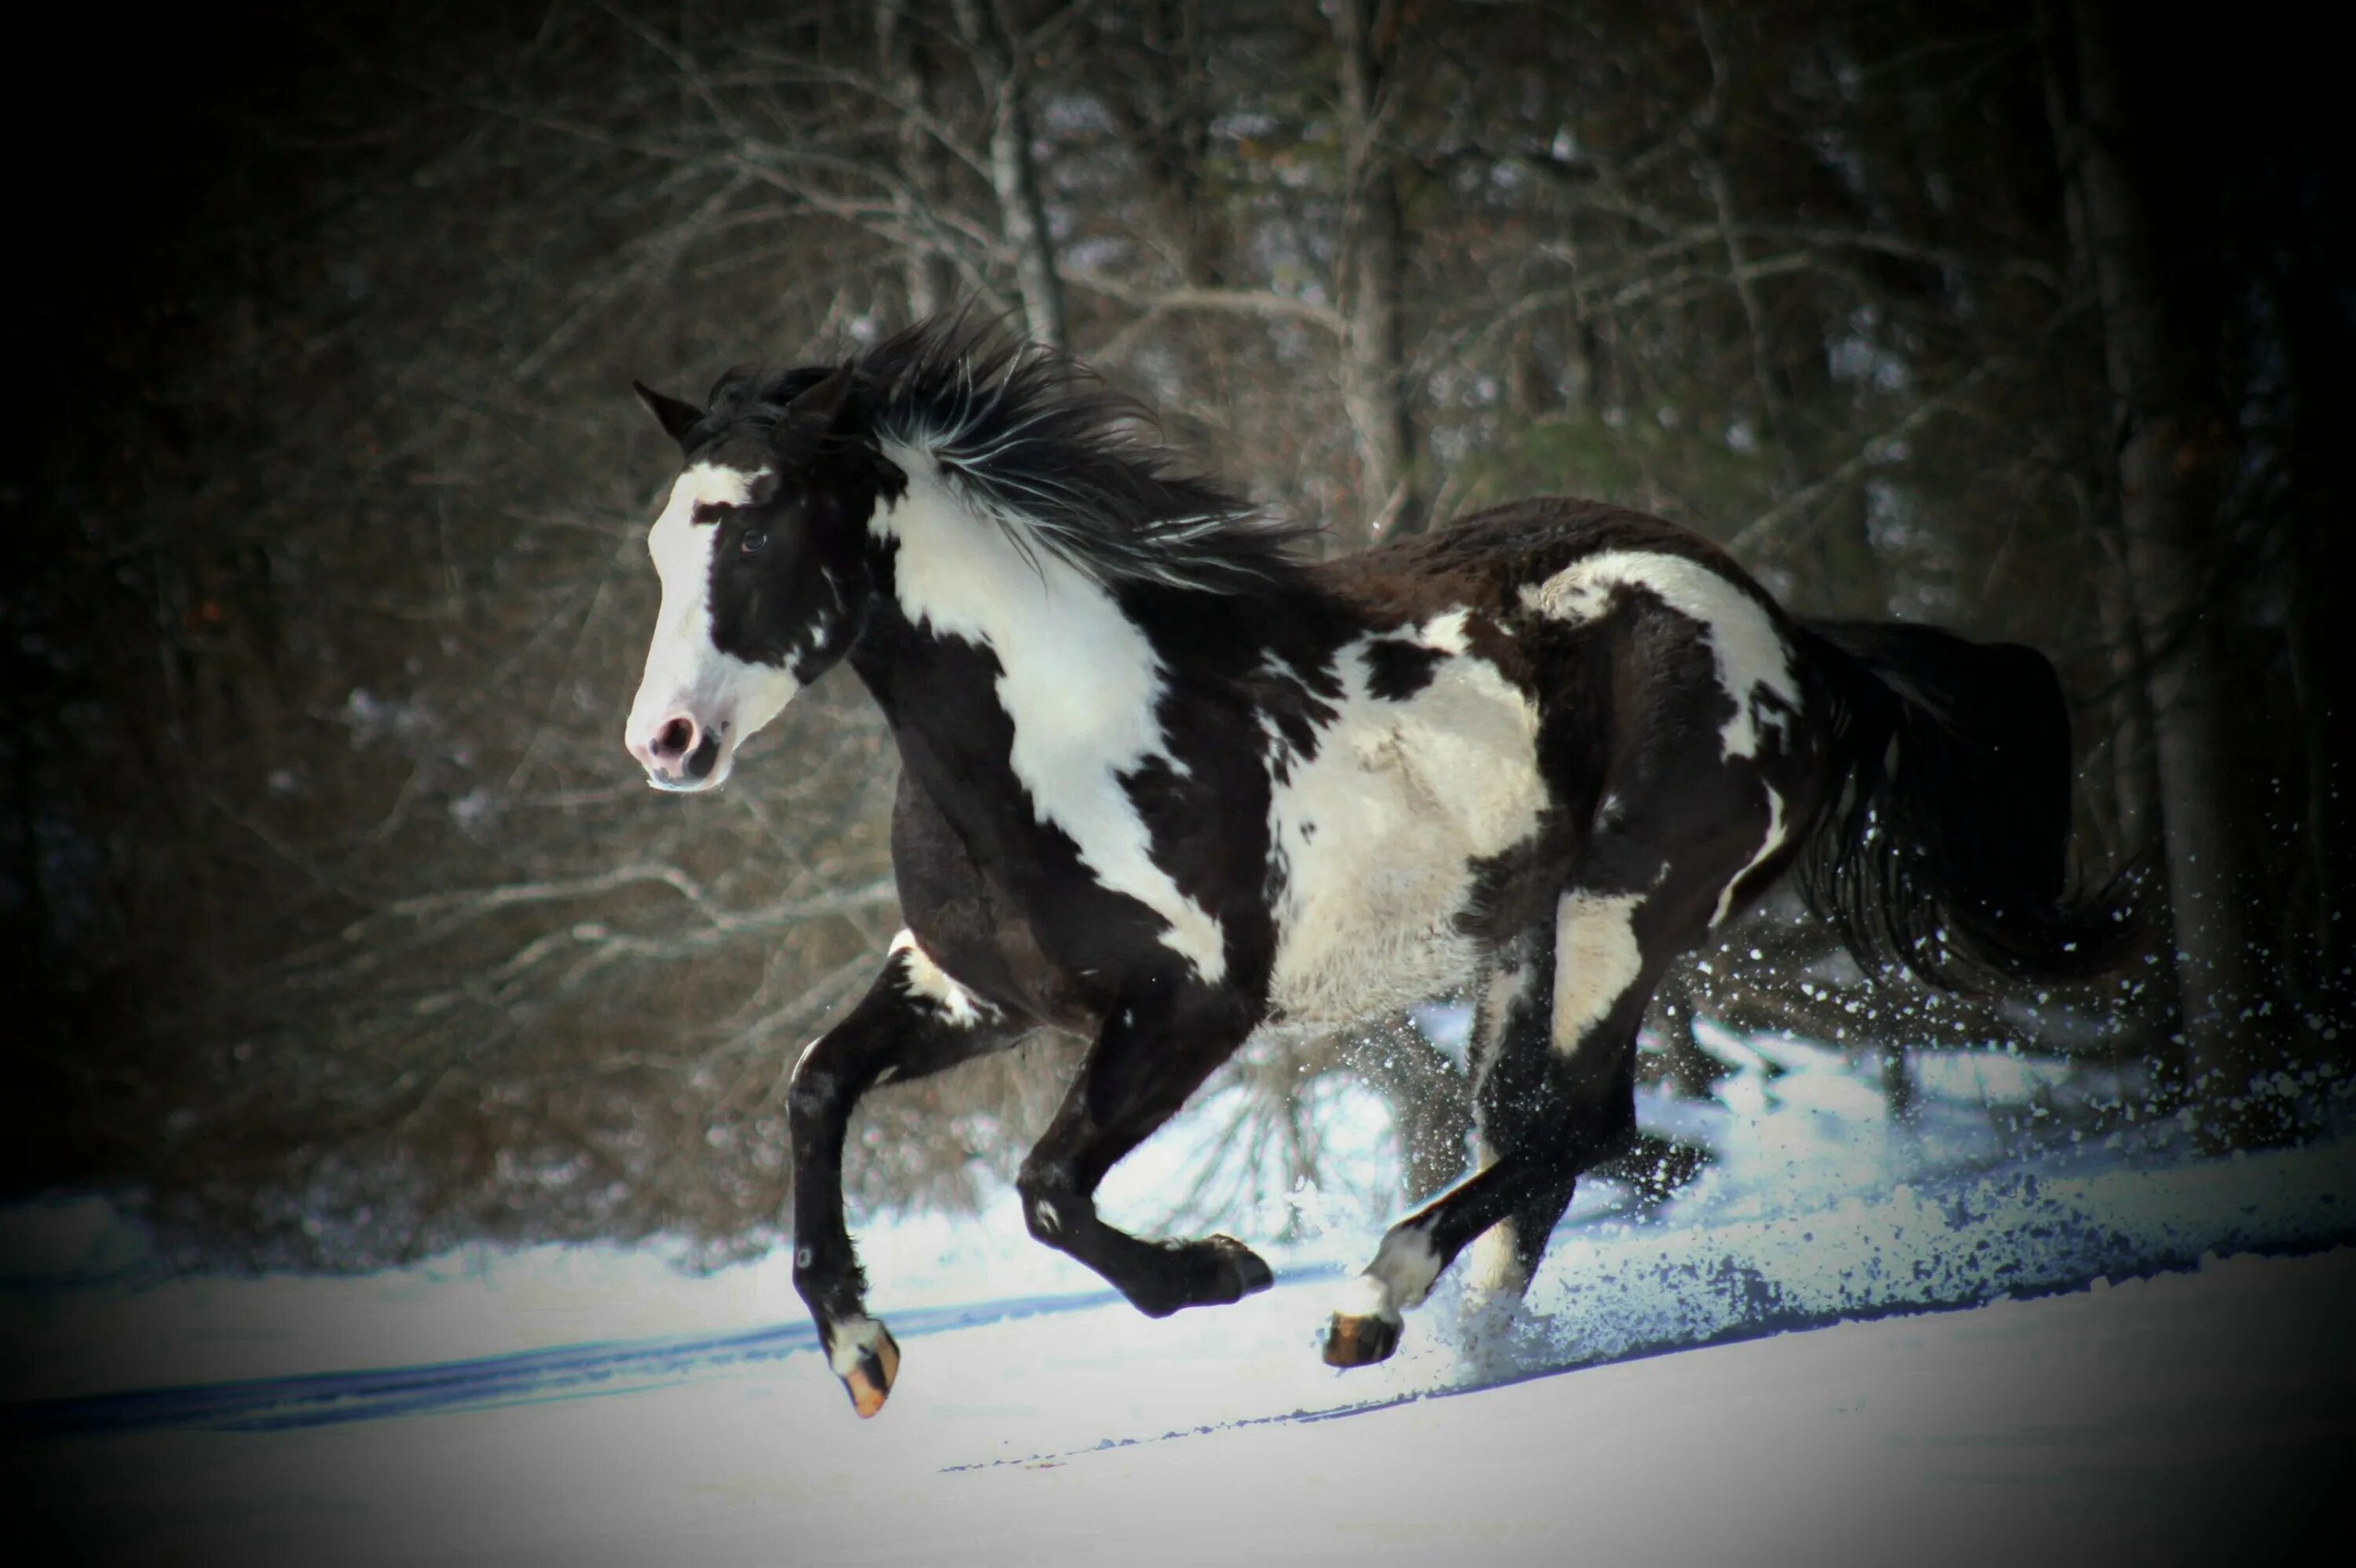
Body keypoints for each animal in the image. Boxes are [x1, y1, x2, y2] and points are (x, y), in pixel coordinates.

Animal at [617, 317, 2130, 1413]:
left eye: (759, 520)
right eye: (659, 539)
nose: (666, 742)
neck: (1067, 728)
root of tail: (1796, 640)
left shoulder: (1191, 1008)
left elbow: (1047, 1189)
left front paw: (1222, 1270)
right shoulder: (970, 989)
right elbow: (816, 1089)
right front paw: (860, 1350)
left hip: (1625, 911)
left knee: (1577, 1126)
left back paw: (1371, 1302)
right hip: (1528, 937)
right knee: (1542, 1139)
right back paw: (1464, 1344)